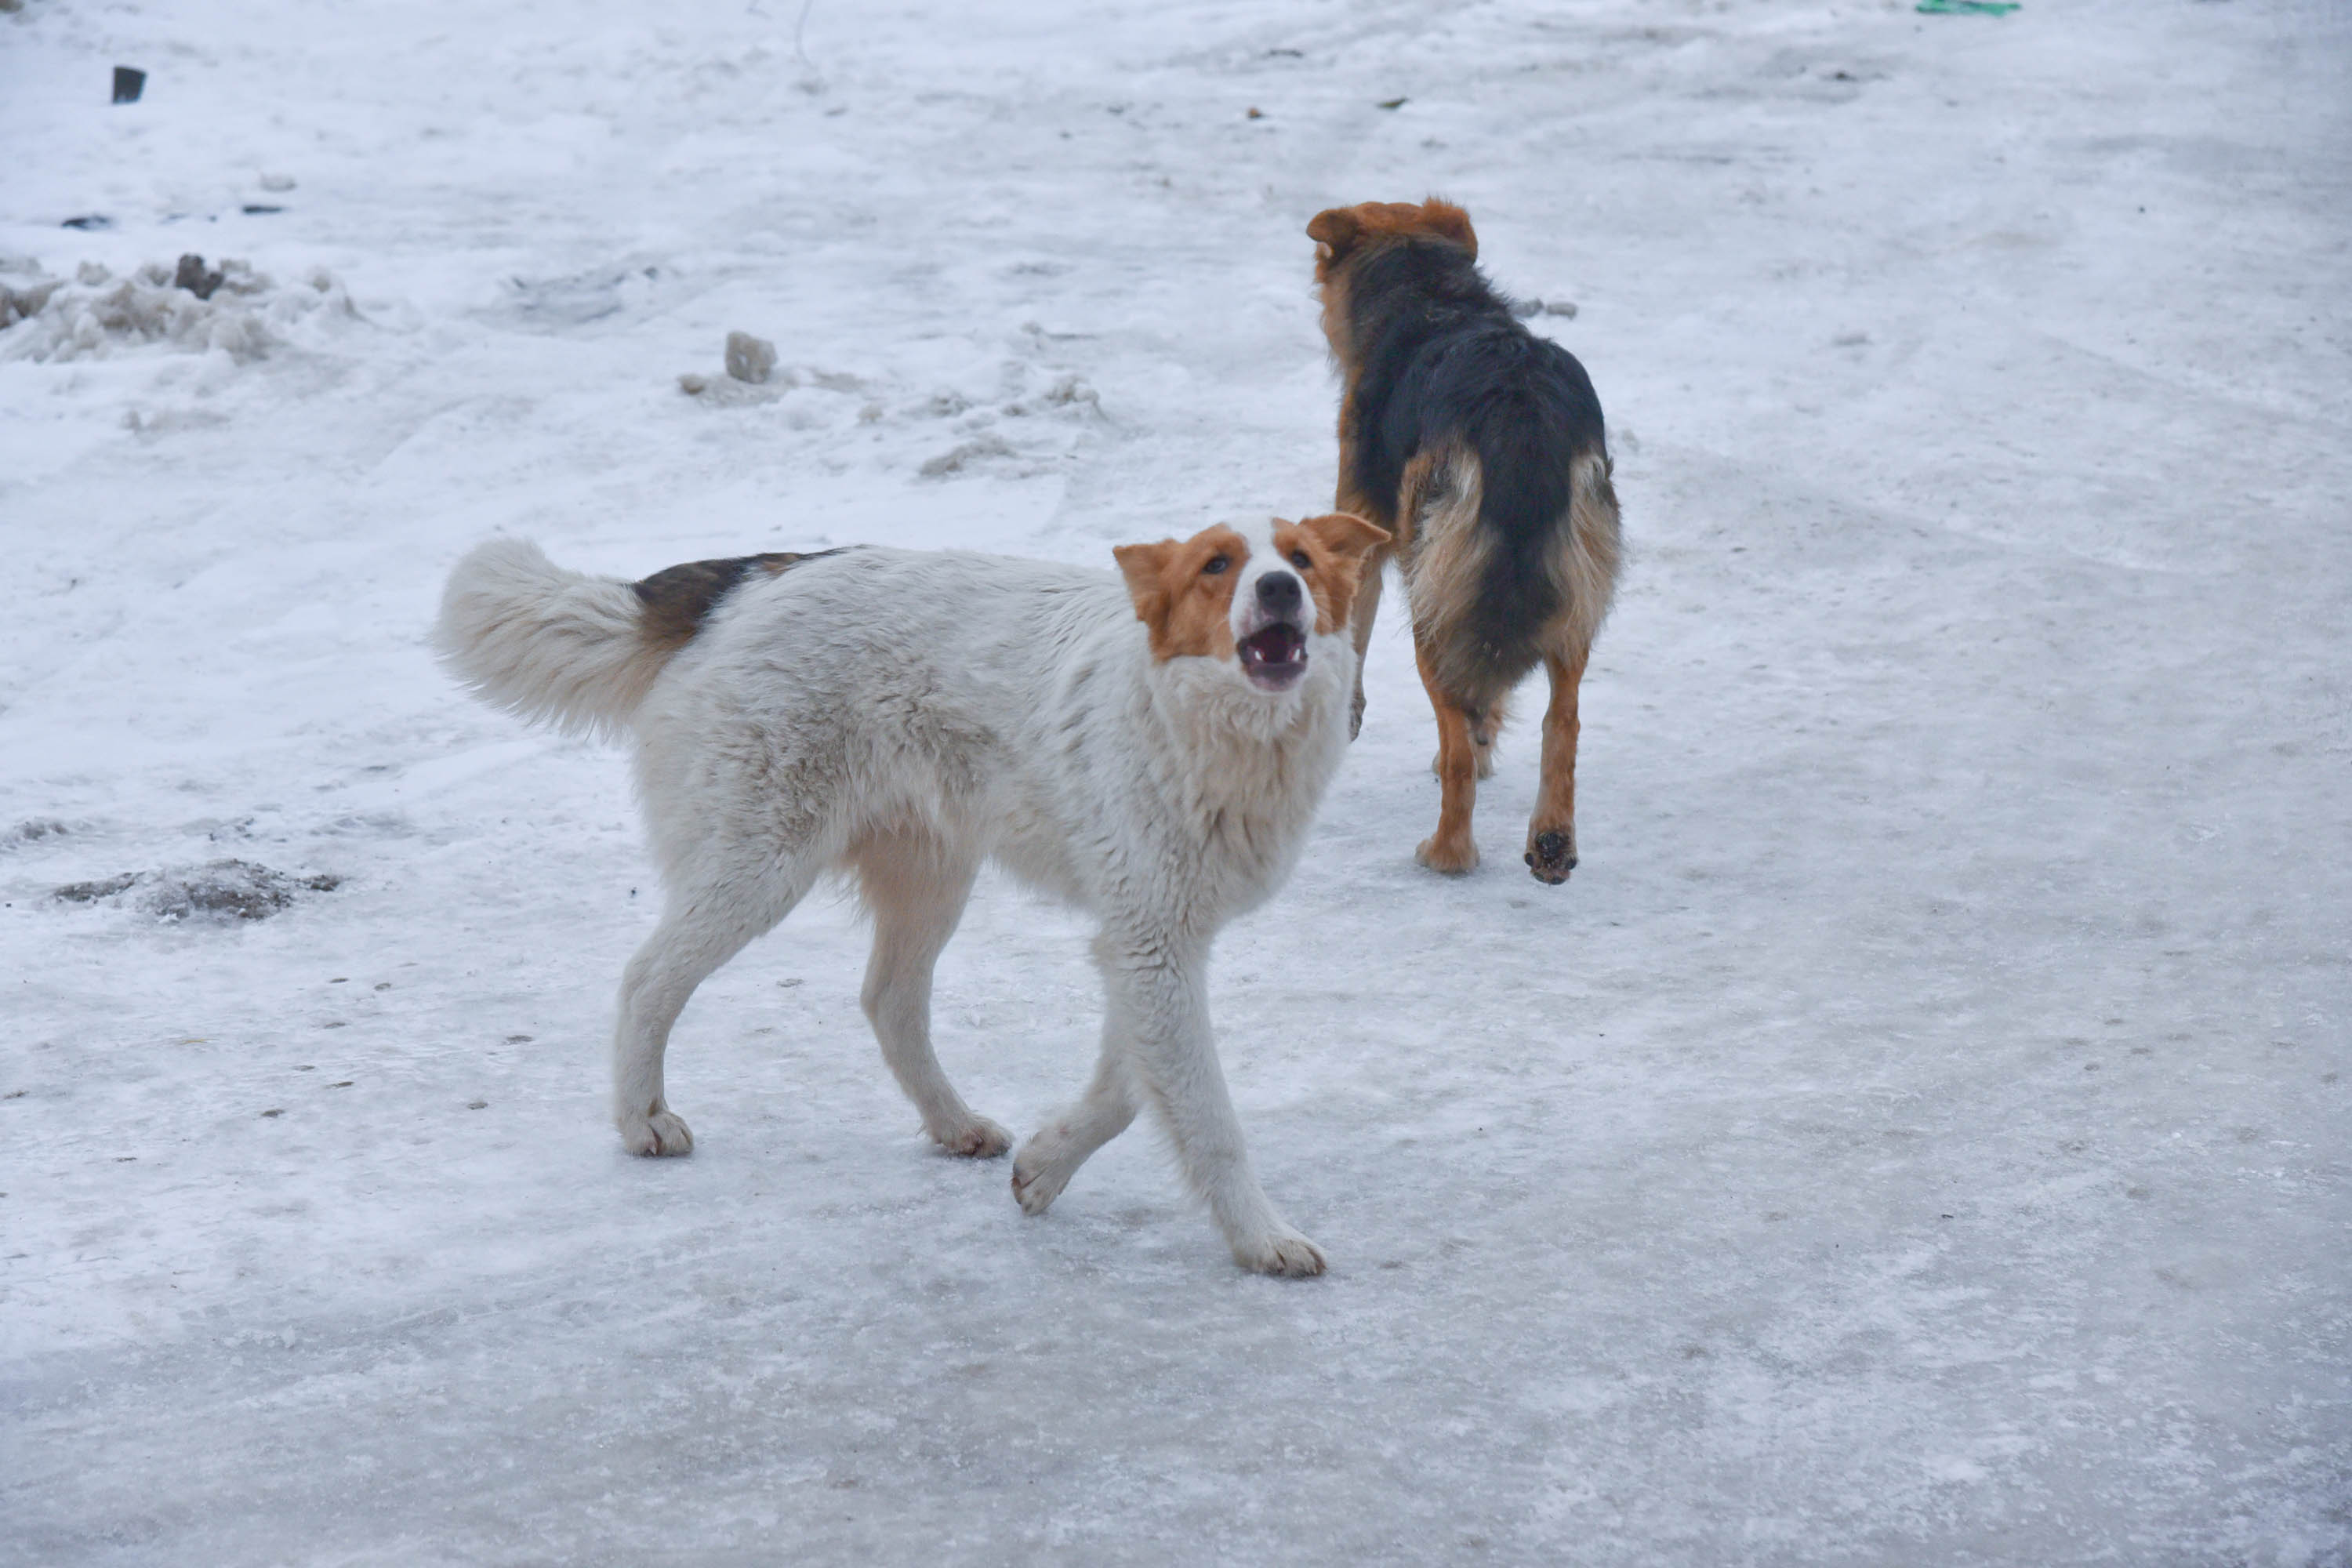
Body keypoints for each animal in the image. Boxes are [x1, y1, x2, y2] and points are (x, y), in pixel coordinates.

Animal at [435, 514, 1383, 1279]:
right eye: (1218, 565)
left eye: (1301, 558)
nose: (1280, 588)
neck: (1202, 723)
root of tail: (754, 576)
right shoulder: (1152, 944)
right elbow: (1209, 1117)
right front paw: (1262, 1239)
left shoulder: (1149, 941)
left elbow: (1128, 1087)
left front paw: (1046, 1166)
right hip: (758, 867)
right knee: (647, 978)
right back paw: (642, 1121)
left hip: (929, 876)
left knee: (888, 999)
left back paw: (954, 1123)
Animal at [1308, 197, 1618, 884]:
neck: (1432, 296)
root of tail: (1519, 411)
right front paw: (1487, 736)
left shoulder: (1363, 521)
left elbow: (1355, 631)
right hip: (1573, 593)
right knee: (1564, 720)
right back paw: (1552, 844)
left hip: (1432, 597)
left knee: (1453, 736)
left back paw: (1448, 852)